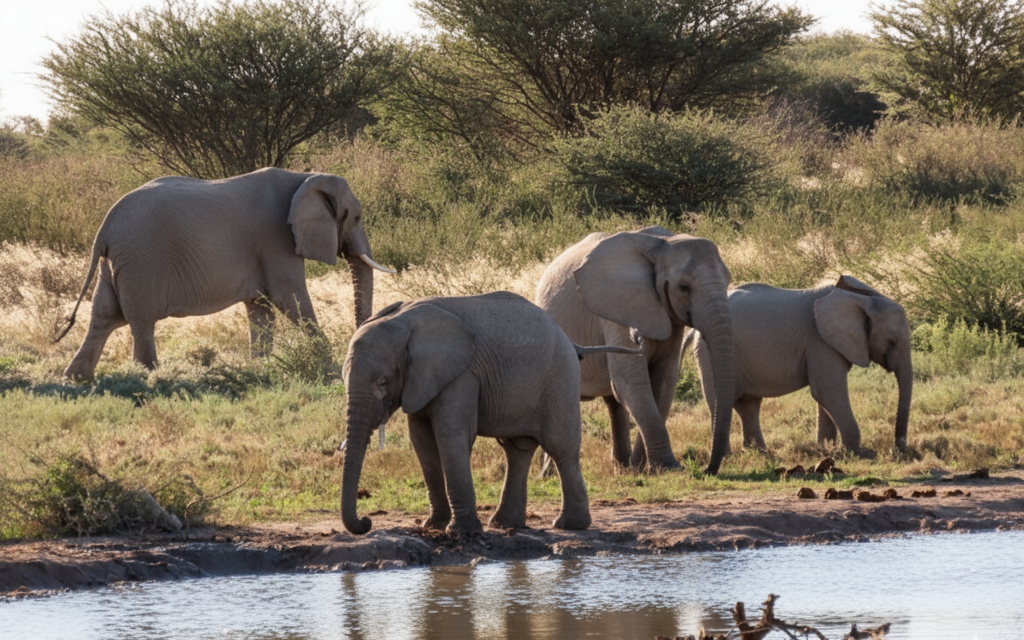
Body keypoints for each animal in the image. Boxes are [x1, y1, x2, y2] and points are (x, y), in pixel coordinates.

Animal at [55, 167, 394, 380]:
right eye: (356, 217)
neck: (304, 176)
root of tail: (105, 226)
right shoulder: (275, 239)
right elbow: (290, 299)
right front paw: (330, 367)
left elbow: (261, 308)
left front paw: (261, 368)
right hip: (142, 260)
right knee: (140, 320)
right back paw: (147, 376)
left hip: (115, 262)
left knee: (104, 317)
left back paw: (77, 379)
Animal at [340, 291, 641, 535]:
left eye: (382, 383)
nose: (366, 522)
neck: (403, 322)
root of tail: (572, 343)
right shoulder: (422, 382)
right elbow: (422, 442)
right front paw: (433, 526)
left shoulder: (462, 375)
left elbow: (451, 434)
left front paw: (460, 531)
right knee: (517, 450)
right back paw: (505, 524)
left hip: (560, 376)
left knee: (560, 449)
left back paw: (568, 526)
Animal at [535, 226, 737, 475]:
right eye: (684, 287)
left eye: (728, 281)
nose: (707, 470)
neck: (663, 246)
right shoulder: (618, 308)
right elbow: (631, 381)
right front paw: (669, 468)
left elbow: (664, 381)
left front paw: (643, 469)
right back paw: (546, 476)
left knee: (613, 402)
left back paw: (621, 467)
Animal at [686, 275, 912, 456]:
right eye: (892, 341)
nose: (897, 449)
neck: (862, 298)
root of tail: (694, 329)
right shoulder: (820, 341)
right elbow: (827, 392)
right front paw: (858, 453)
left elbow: (825, 396)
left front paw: (827, 451)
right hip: (710, 354)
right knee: (721, 402)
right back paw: (728, 457)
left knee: (748, 406)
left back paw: (759, 453)